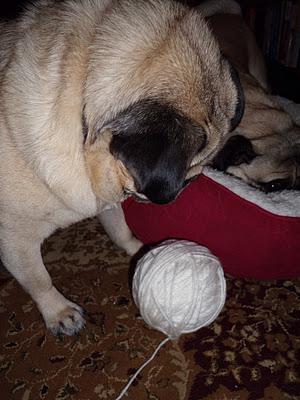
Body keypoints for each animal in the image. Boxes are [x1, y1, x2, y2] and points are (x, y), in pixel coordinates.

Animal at [0, 0, 244, 334]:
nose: (182, 190)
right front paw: (59, 311)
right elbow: (38, 279)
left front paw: (139, 250)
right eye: (186, 177)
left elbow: (120, 229)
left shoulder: (106, 197)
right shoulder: (16, 238)